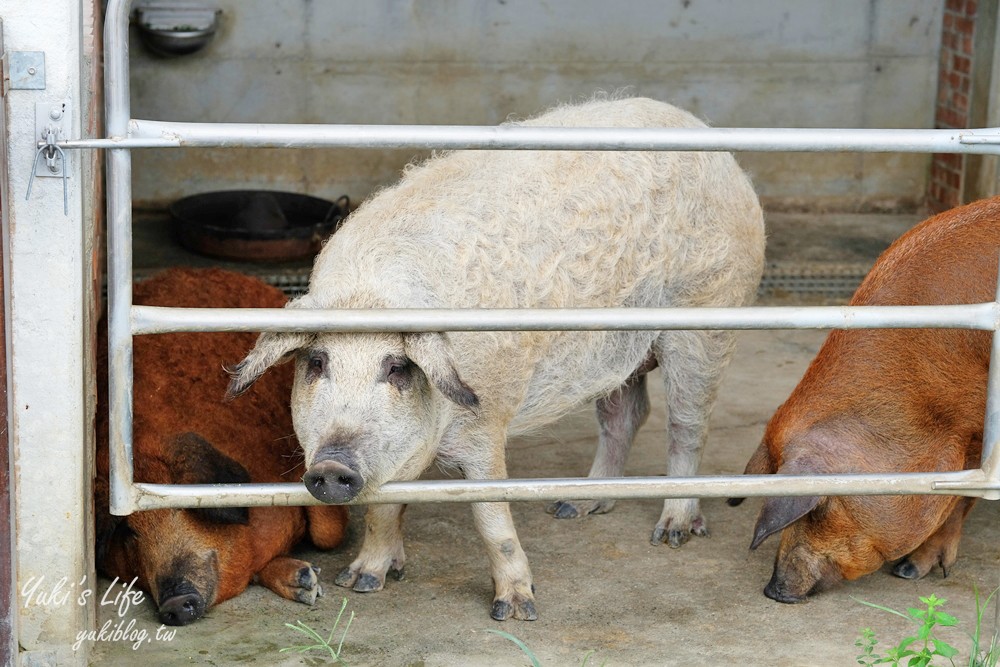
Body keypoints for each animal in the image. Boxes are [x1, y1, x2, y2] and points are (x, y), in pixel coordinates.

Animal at [95, 268, 350, 628]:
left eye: (180, 505)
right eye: (129, 532)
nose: (174, 602)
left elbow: (329, 531)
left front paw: (311, 583)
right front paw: (306, 581)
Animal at [230, 96, 764, 624]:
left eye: (397, 367)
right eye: (317, 363)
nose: (331, 466)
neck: (369, 298)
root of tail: (709, 141)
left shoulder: (488, 416)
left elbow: (490, 514)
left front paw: (517, 610)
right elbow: (385, 508)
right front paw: (360, 582)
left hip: (707, 319)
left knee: (687, 425)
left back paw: (671, 532)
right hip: (618, 353)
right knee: (626, 416)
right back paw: (571, 507)